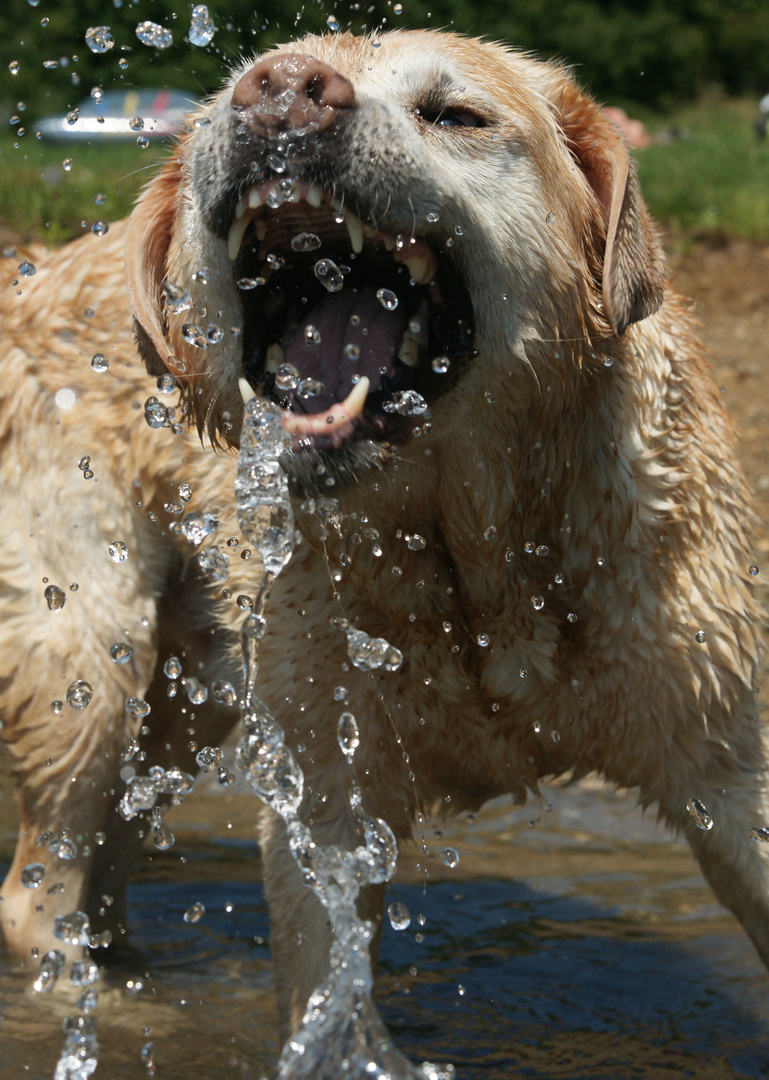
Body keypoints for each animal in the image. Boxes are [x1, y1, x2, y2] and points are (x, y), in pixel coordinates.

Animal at [1, 27, 769, 1062]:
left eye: (455, 115)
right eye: (225, 103)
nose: (280, 91)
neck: (480, 559)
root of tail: (38, 267)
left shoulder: (729, 760)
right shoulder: (323, 791)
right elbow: (330, 988)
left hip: (190, 690)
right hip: (88, 656)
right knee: (37, 892)